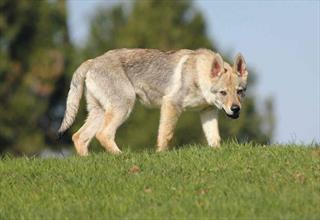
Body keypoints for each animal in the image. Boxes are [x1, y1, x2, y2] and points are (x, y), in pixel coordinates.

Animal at [58, 48, 249, 155]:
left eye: (240, 92)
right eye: (223, 93)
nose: (235, 109)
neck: (198, 74)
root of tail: (92, 61)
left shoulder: (208, 112)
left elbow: (215, 139)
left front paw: (217, 153)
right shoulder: (171, 104)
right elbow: (166, 134)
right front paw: (161, 154)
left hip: (100, 112)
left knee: (79, 137)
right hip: (124, 106)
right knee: (103, 134)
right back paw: (122, 156)